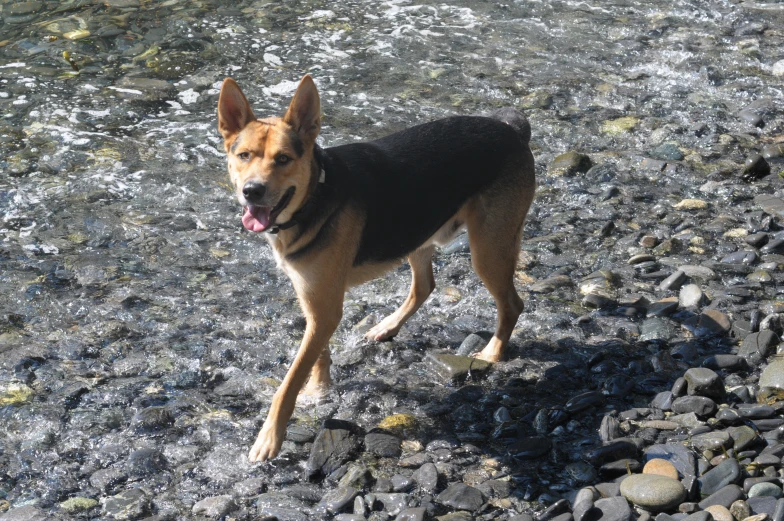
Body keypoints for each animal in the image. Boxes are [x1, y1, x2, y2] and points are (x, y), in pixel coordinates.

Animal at [214, 75, 536, 462]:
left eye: (284, 159)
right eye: (243, 155)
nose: (252, 191)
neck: (314, 196)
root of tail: (511, 130)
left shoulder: (325, 306)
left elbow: (289, 381)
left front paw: (270, 437)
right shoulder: (315, 300)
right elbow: (317, 355)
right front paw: (320, 389)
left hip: (488, 249)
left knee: (511, 304)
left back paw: (492, 352)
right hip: (417, 233)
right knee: (424, 286)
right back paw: (388, 326)